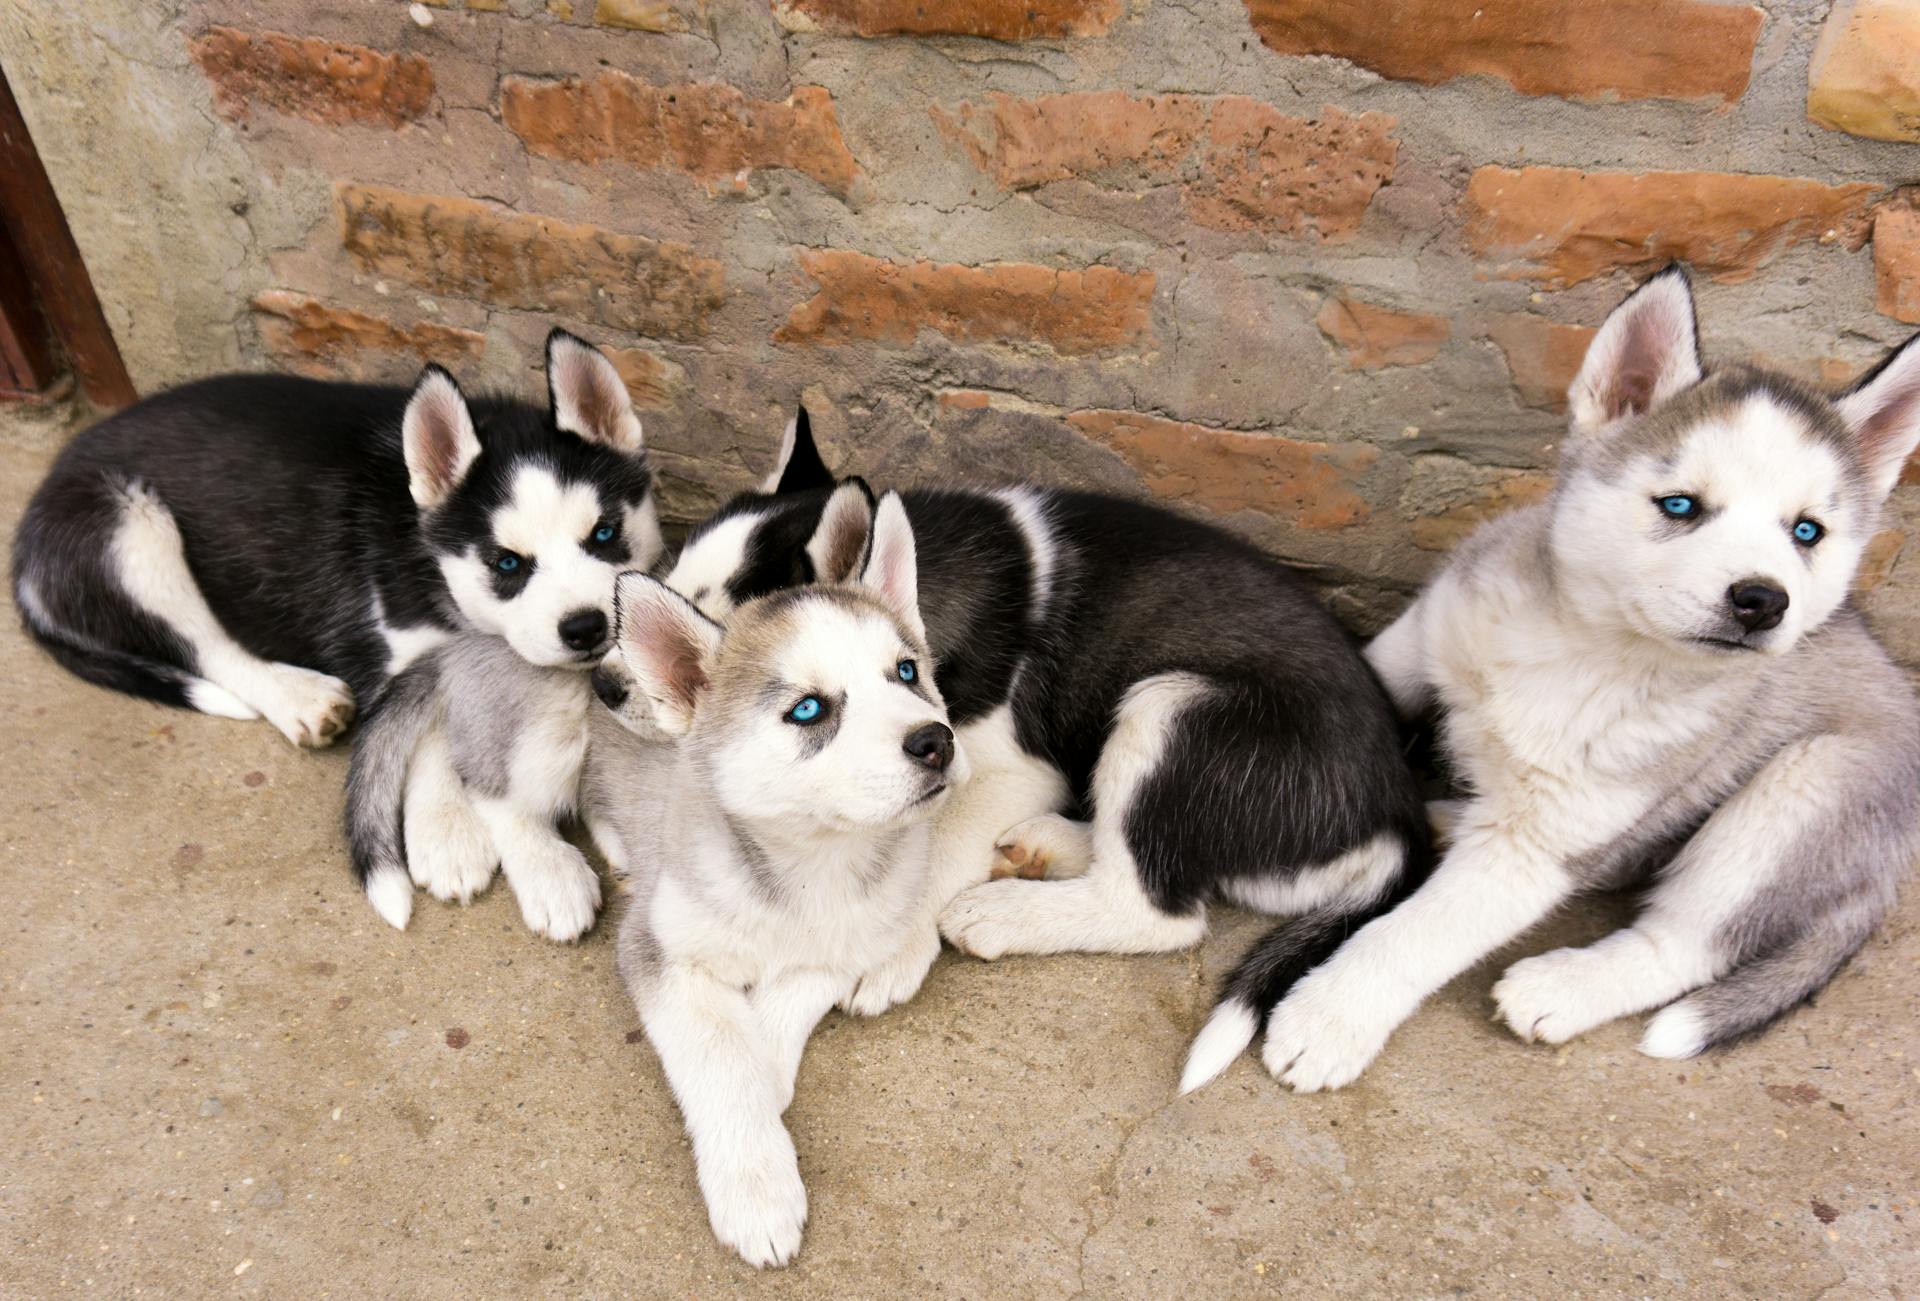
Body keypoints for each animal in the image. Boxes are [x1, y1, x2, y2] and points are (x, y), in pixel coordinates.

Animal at [11, 326, 664, 756]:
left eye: (606, 533)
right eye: (506, 564)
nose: (585, 628)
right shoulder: (400, 659)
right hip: (129, 524)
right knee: (204, 643)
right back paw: (299, 697)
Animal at [579, 491, 967, 1274]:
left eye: (907, 672)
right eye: (809, 709)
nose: (936, 740)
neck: (810, 864)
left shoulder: (844, 942)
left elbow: (784, 1005)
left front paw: (767, 1068)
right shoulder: (659, 949)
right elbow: (719, 1055)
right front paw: (755, 1187)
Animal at [656, 418, 1428, 1082]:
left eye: (718, 630)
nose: (624, 683)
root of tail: (1395, 809)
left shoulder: (1003, 764)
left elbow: (938, 843)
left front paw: (892, 950)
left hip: (1168, 706)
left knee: (1156, 909)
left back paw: (1005, 911)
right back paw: (1046, 846)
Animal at [1182, 266, 1920, 1097]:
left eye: (1806, 532)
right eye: (1680, 505)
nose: (1763, 600)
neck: (1582, 648)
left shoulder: (1536, 846)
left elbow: (1416, 932)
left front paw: (1330, 1018)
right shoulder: (1420, 634)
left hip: (1802, 792)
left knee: (1687, 940)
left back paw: (1560, 987)